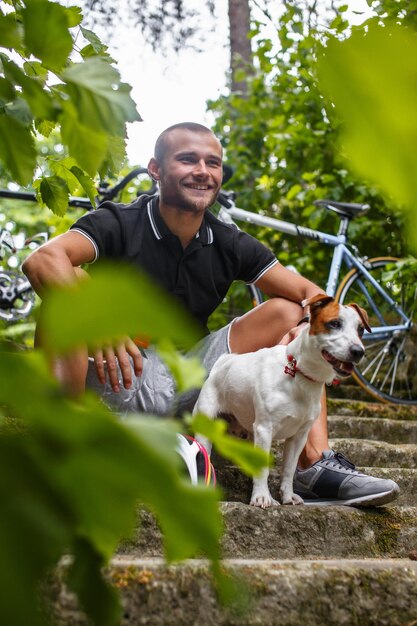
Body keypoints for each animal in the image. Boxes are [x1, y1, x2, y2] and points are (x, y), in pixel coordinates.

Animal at [193, 294, 368, 508]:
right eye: (334, 323)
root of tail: (223, 363)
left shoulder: (298, 436)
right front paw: (262, 497)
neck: (300, 375)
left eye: (360, 329)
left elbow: (289, 470)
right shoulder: (265, 429)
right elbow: (263, 469)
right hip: (207, 424)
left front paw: (287, 496)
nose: (358, 351)